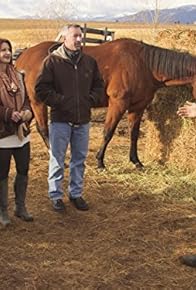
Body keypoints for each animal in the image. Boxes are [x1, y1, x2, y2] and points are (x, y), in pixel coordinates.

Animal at [15, 39, 196, 170]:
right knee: (43, 129)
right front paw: (100, 162)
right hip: (37, 102)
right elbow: (108, 132)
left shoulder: (137, 107)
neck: (143, 64)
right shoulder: (118, 103)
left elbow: (134, 134)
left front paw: (136, 161)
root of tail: (23, 56)